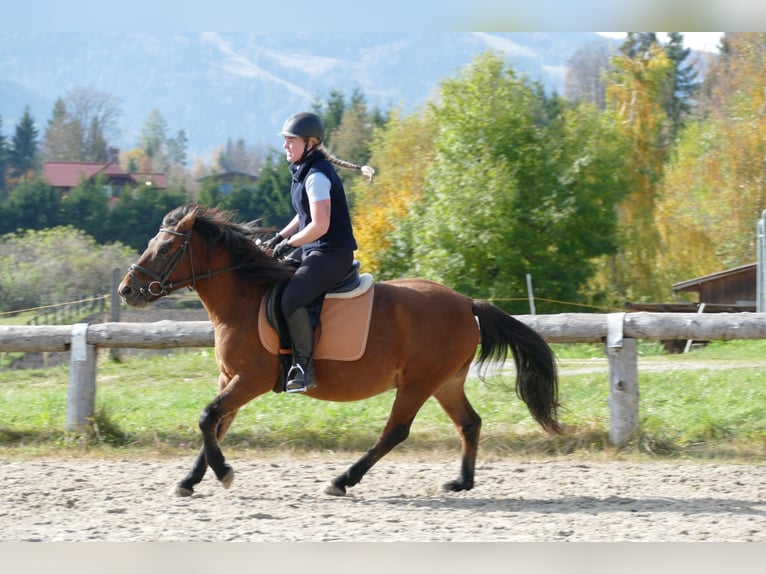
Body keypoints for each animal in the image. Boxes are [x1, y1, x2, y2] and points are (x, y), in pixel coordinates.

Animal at [120, 205, 564, 498]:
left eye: (165, 250)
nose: (127, 290)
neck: (243, 299)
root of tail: (466, 302)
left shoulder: (251, 379)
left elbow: (207, 417)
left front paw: (223, 473)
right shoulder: (230, 378)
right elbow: (216, 423)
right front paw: (190, 481)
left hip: (418, 383)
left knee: (395, 431)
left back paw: (342, 480)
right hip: (446, 381)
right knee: (469, 423)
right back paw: (462, 481)